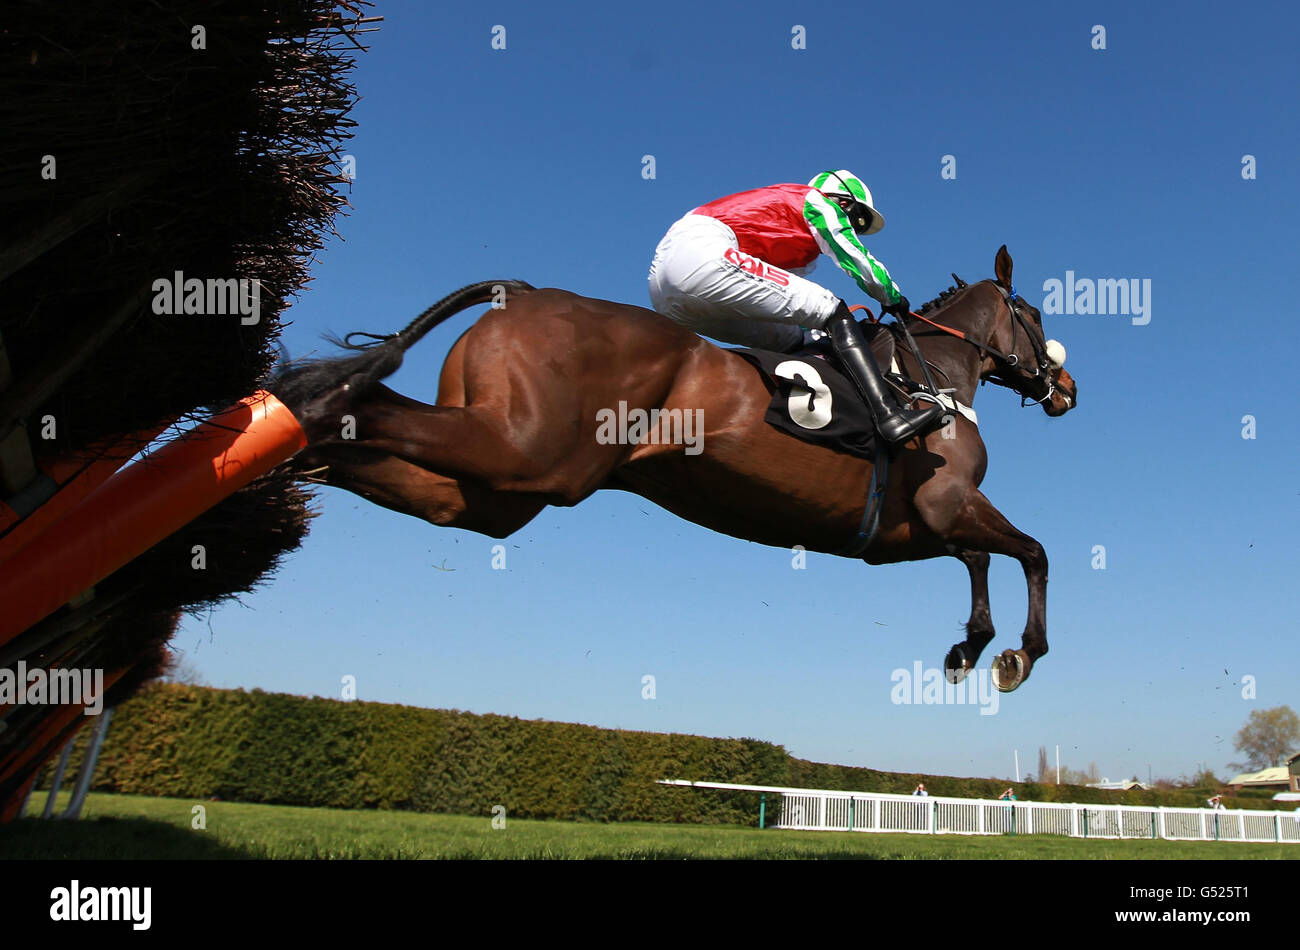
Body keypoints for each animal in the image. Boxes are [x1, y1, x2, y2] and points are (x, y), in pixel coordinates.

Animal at [271, 245, 1076, 691]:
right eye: (1035, 315)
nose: (1066, 386)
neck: (925, 378)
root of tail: (521, 295)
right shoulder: (942, 502)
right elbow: (1032, 551)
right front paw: (1021, 653)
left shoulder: (910, 529)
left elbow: (980, 556)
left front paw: (971, 645)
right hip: (522, 448)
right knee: (353, 403)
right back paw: (286, 427)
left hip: (502, 488)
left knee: (391, 457)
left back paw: (285, 470)